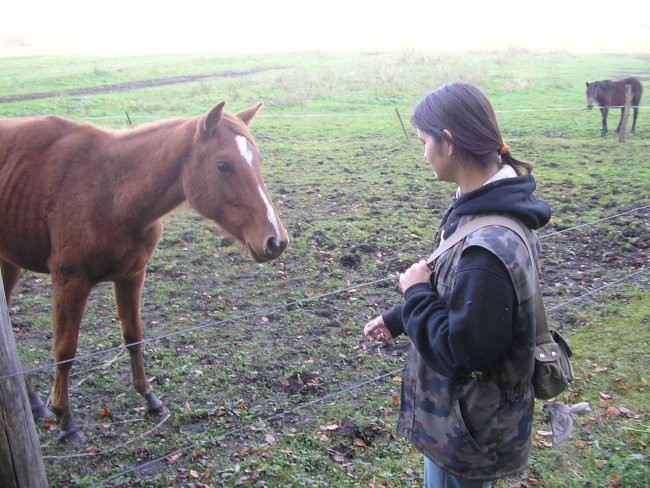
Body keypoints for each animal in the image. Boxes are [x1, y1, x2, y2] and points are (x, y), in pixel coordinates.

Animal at [0, 103, 288, 446]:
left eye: (257, 161)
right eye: (223, 165)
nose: (276, 241)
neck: (111, 193)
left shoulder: (132, 274)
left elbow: (133, 336)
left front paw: (149, 398)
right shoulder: (69, 280)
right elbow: (65, 350)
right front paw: (66, 420)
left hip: (8, 262)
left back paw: (32, 400)